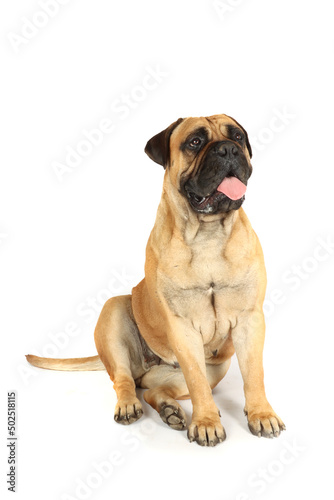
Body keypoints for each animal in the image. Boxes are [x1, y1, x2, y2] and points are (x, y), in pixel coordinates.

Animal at [27, 115, 286, 448]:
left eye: (238, 137)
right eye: (195, 142)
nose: (228, 150)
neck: (208, 233)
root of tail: (145, 368)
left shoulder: (250, 319)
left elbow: (254, 374)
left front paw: (261, 414)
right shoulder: (183, 328)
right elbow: (197, 381)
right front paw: (206, 422)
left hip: (212, 369)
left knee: (154, 390)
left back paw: (170, 410)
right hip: (113, 312)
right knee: (124, 380)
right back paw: (130, 406)